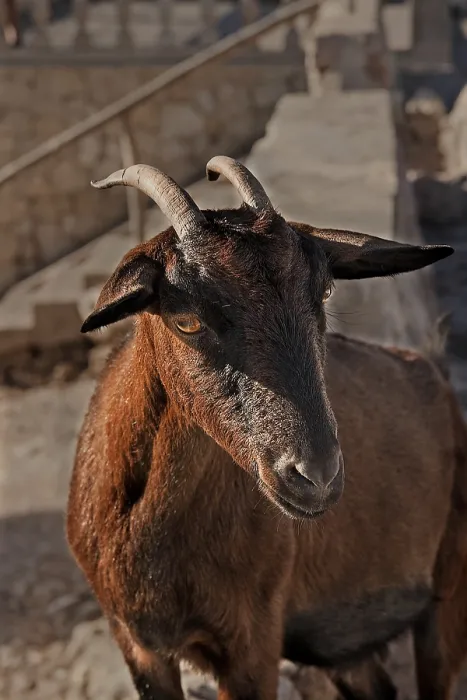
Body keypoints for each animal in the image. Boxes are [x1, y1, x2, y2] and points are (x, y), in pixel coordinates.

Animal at [67, 157, 467, 700]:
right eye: (185, 319)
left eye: (324, 290)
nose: (315, 476)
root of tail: (434, 374)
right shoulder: (139, 645)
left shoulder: (253, 641)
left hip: (448, 594)